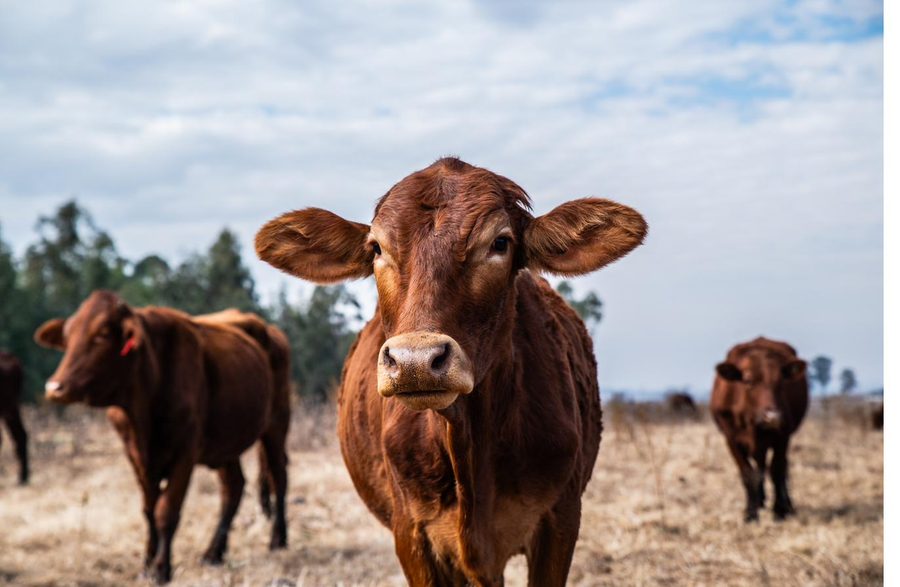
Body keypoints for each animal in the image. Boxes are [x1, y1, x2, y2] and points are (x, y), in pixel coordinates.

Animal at [34, 292, 290, 583]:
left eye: (102, 333)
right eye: (68, 335)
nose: (55, 388)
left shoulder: (185, 453)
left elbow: (166, 510)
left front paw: (161, 569)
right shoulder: (137, 457)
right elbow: (149, 510)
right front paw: (146, 563)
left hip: (276, 422)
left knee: (279, 475)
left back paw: (278, 539)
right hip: (226, 442)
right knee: (233, 487)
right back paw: (214, 553)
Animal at [710, 337, 808, 523]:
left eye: (781, 381)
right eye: (748, 381)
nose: (773, 416)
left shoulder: (783, 436)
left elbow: (776, 470)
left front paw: (780, 510)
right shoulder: (731, 439)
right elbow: (748, 474)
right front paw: (750, 512)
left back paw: (786, 504)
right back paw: (760, 501)